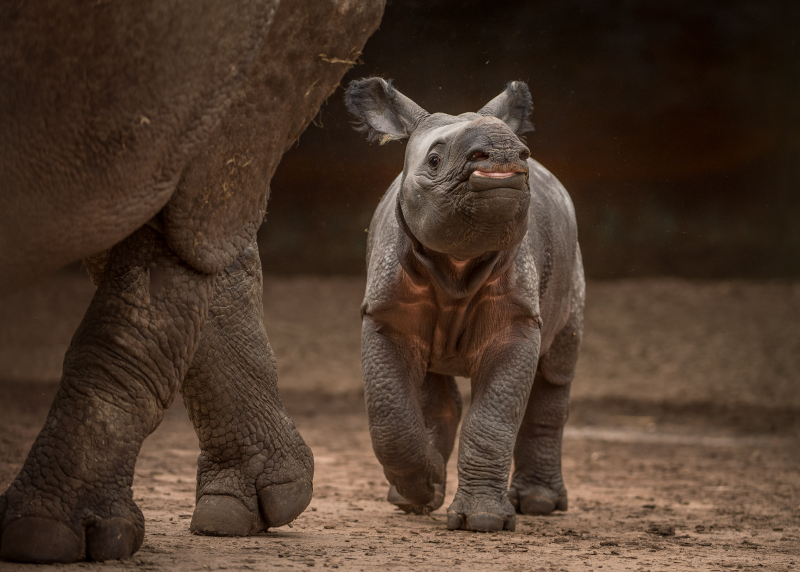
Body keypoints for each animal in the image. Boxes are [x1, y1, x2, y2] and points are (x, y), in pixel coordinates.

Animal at [345, 78, 584, 532]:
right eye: (434, 159)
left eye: (523, 154)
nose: (506, 153)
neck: (456, 262)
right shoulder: (385, 313)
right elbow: (389, 415)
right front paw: (424, 486)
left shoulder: (517, 319)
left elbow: (493, 419)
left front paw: (484, 520)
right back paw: (410, 497)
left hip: (572, 256)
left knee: (556, 368)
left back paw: (539, 503)